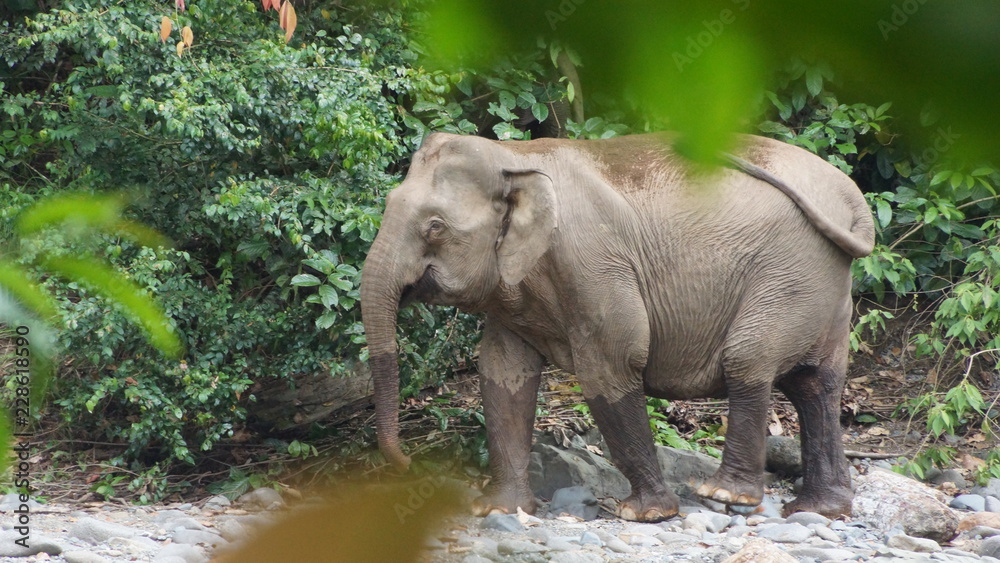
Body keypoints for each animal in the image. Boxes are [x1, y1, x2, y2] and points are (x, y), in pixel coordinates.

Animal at [360, 131, 875, 521]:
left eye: (435, 227)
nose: (407, 463)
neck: (515, 155)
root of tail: (851, 197)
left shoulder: (594, 264)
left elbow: (610, 365)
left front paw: (646, 514)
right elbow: (502, 375)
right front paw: (500, 511)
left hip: (790, 277)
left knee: (749, 362)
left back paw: (725, 495)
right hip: (823, 288)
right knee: (816, 385)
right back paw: (819, 510)